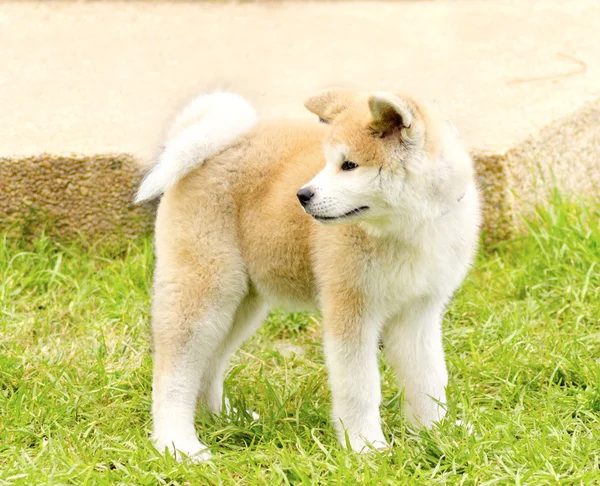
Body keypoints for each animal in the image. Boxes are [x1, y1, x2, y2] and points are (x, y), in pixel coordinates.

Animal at [137, 88, 482, 464]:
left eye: (349, 165)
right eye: (329, 161)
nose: (302, 196)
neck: (407, 230)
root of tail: (216, 143)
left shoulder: (419, 312)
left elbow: (428, 379)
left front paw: (436, 433)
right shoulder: (351, 311)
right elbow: (359, 387)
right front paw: (364, 446)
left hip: (240, 303)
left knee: (208, 364)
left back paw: (225, 419)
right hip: (204, 291)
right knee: (175, 372)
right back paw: (177, 443)